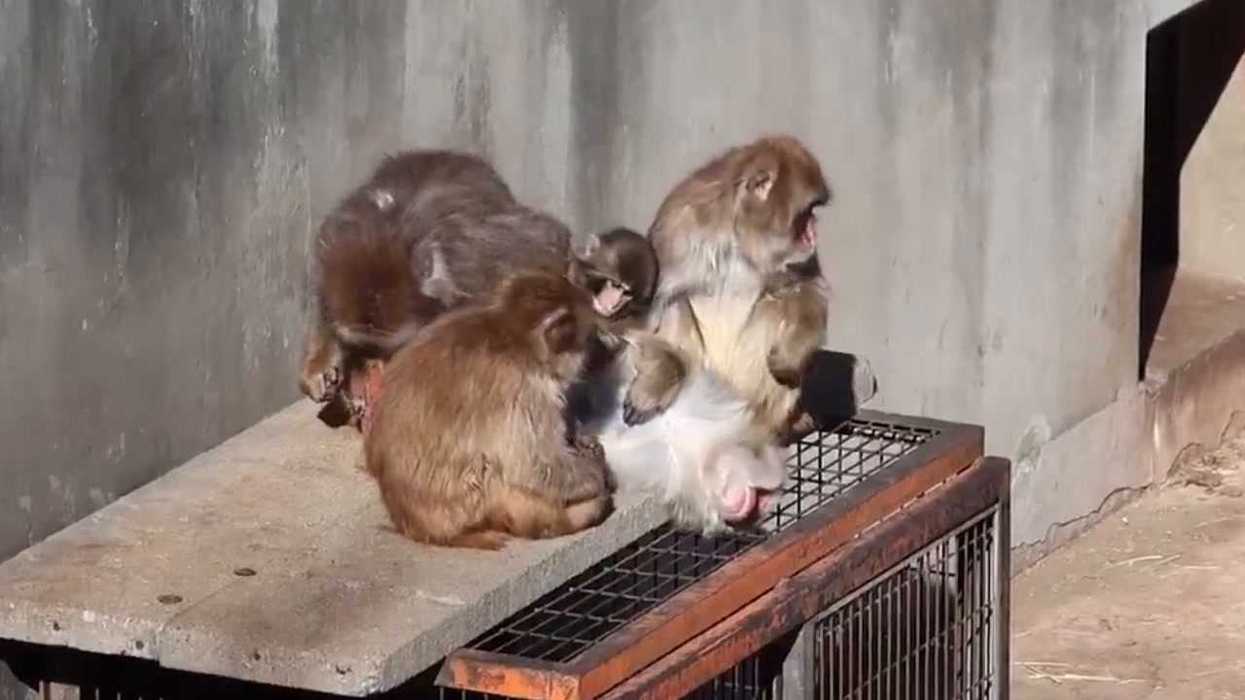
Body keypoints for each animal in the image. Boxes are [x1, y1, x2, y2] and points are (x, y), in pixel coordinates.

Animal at [363, 272, 613, 550]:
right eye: (587, 339)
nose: (598, 351)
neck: (510, 335)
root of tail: (416, 528)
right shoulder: (522, 392)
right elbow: (535, 467)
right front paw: (597, 474)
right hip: (476, 507)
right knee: (494, 471)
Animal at [646, 135, 832, 442]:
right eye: (806, 214)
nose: (814, 231)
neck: (738, 240)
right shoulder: (678, 226)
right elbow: (652, 307)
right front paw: (654, 385)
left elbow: (807, 287)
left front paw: (790, 356)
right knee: (676, 303)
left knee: (777, 302)